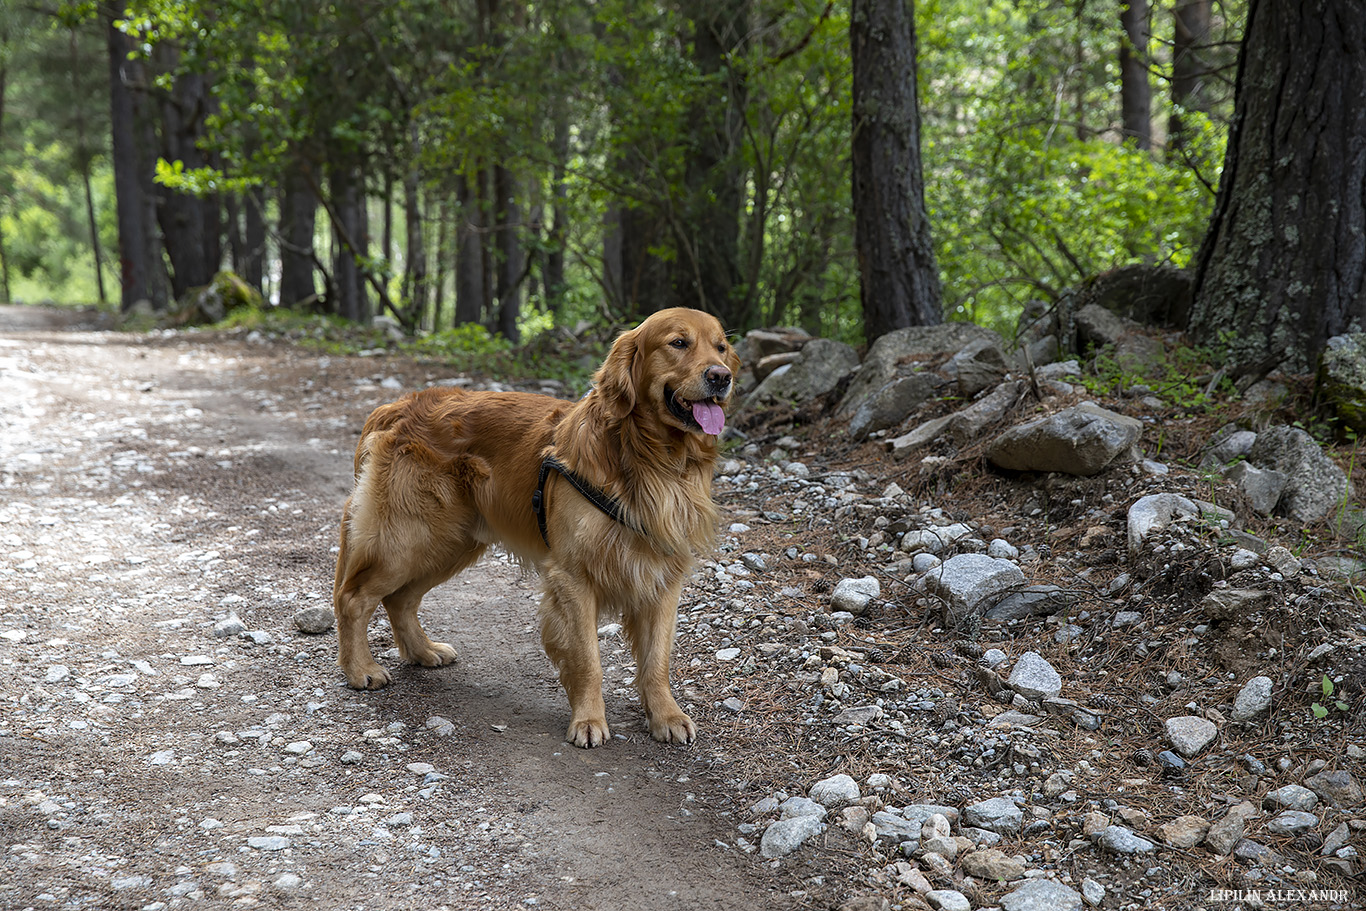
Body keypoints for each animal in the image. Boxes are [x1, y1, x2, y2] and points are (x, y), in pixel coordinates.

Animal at [330, 305, 737, 748]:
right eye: (678, 343)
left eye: (721, 347)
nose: (721, 376)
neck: (648, 456)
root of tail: (396, 406)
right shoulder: (574, 575)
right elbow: (588, 658)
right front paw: (588, 720)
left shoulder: (663, 575)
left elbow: (657, 659)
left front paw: (666, 715)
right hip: (408, 537)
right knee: (354, 598)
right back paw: (361, 670)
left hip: (449, 543)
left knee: (399, 600)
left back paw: (423, 651)